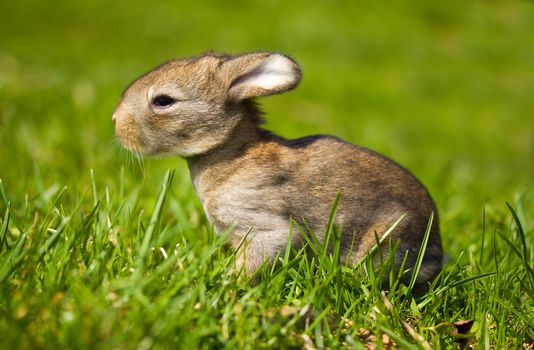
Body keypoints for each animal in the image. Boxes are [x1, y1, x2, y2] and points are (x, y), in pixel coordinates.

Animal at [113, 51, 444, 288]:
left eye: (163, 100)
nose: (116, 122)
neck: (232, 153)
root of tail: (435, 251)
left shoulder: (264, 225)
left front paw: (228, 283)